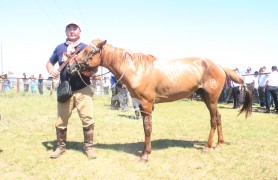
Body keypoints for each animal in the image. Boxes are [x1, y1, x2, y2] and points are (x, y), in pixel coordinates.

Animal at [68, 39, 252, 162]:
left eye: (88, 51)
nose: (70, 67)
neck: (136, 69)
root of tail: (220, 66)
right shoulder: (141, 105)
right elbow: (145, 128)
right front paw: (144, 151)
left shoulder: (147, 104)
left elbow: (148, 128)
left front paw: (145, 155)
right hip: (206, 98)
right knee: (218, 118)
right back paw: (219, 144)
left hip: (212, 99)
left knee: (213, 120)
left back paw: (207, 147)